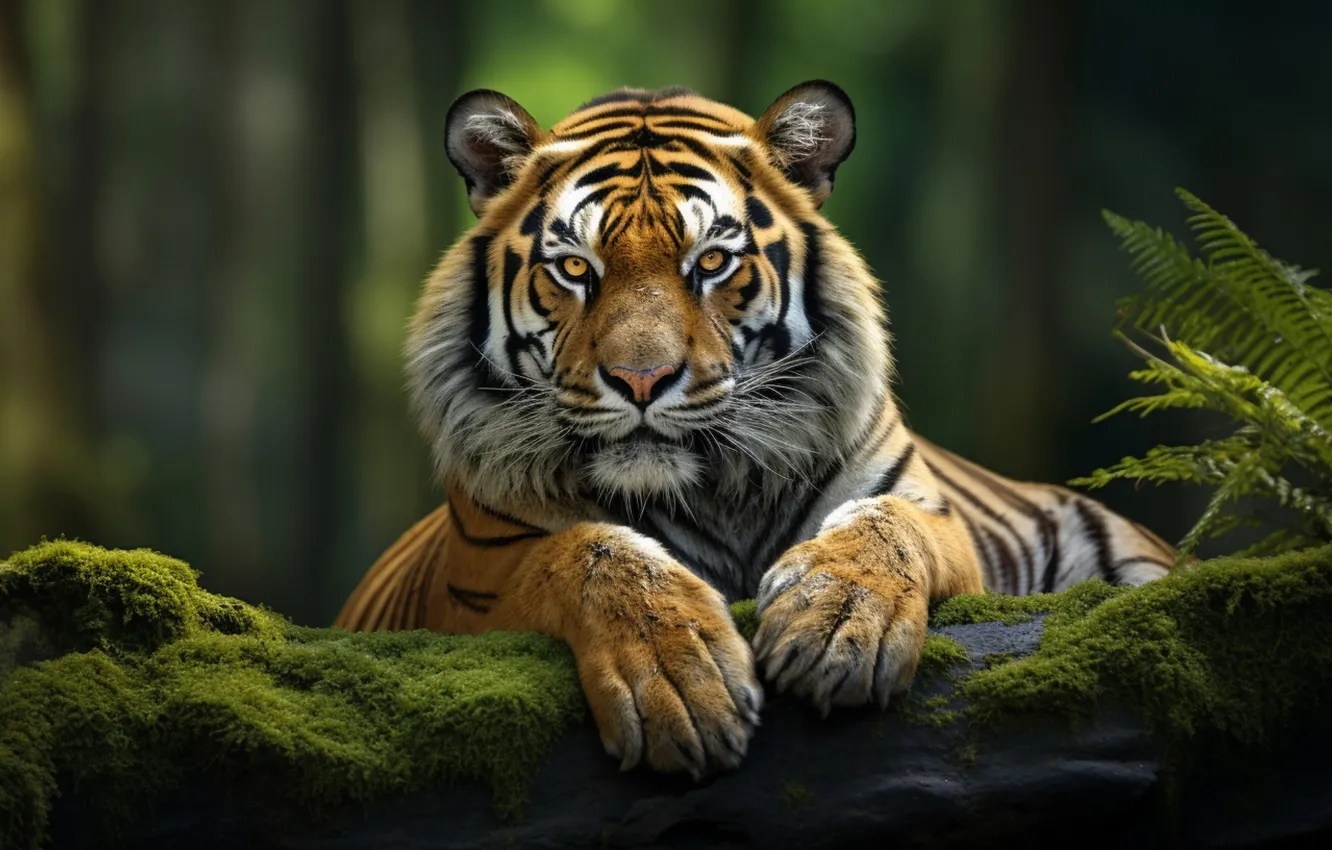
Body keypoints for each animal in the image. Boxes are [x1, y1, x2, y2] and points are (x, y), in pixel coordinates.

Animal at [335, 80, 1175, 780]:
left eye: (710, 262)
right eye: (575, 269)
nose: (642, 381)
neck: (718, 495)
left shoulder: (934, 517)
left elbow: (885, 526)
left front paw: (836, 629)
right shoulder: (477, 581)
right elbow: (584, 552)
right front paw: (680, 682)